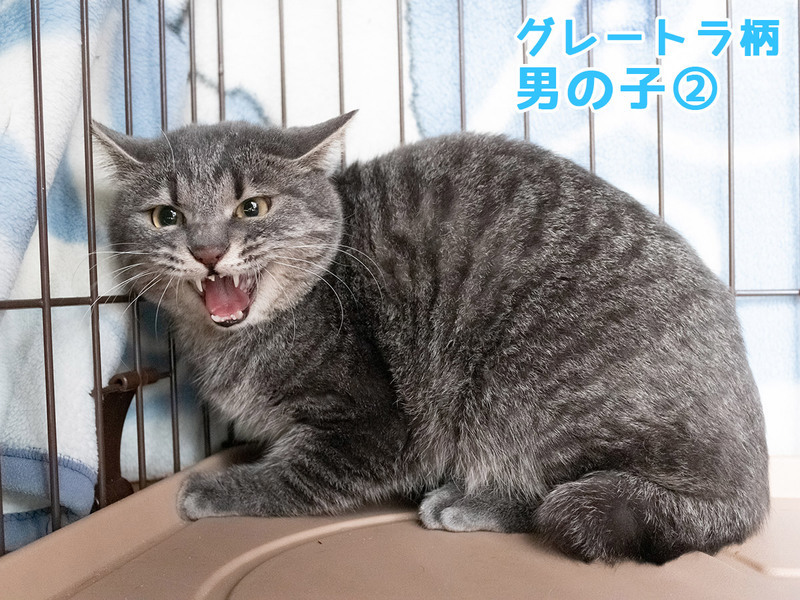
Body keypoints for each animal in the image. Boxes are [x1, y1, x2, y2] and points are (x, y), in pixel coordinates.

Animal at [93, 111, 769, 565]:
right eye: (166, 216)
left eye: (252, 208)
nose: (207, 251)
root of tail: (751, 485)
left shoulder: (376, 426)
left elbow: (295, 478)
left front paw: (214, 489)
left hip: (524, 391)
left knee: (557, 493)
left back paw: (466, 502)